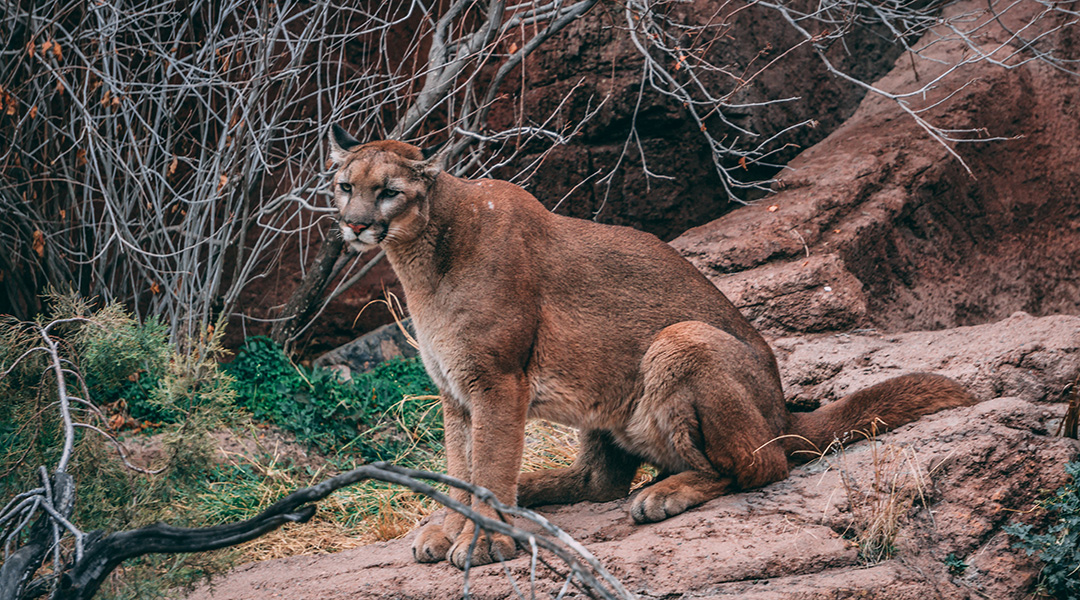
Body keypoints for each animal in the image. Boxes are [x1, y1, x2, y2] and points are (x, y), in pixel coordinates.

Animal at [324, 125, 976, 565]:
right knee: (601, 482)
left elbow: (485, 464)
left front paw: (480, 537)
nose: (353, 224)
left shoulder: (497, 382)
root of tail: (782, 409)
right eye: (344, 187)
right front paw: (446, 525)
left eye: (388, 192)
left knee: (758, 466)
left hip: (679, 340)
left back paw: (663, 493)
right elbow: (461, 464)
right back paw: (535, 491)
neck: (422, 258)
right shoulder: (455, 390)